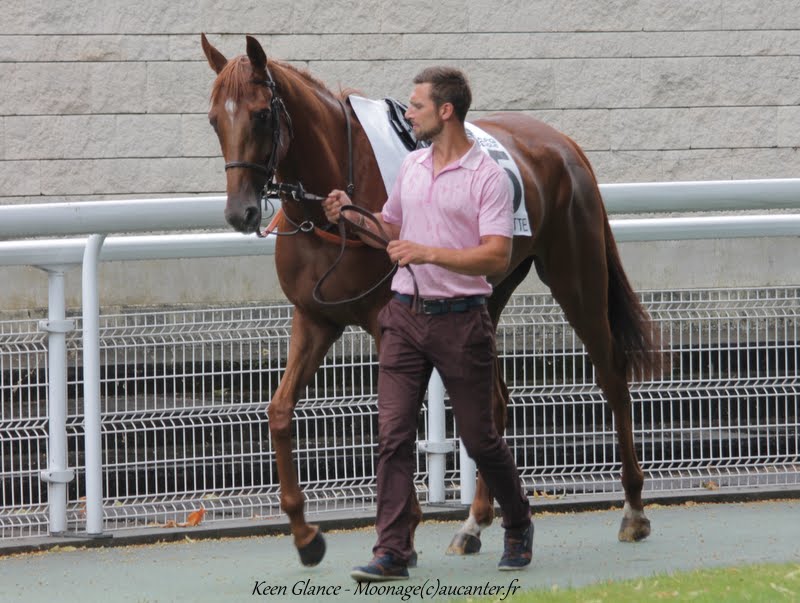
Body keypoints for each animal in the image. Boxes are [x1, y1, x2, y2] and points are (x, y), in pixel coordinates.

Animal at [200, 35, 656, 568]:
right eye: (214, 118)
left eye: (261, 115)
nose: (241, 212)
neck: (332, 210)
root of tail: (564, 144)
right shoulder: (314, 318)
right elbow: (278, 410)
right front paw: (305, 533)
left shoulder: (387, 323)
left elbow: (392, 420)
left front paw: (400, 532)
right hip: (486, 295)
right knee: (493, 402)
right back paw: (475, 523)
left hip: (577, 276)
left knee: (613, 378)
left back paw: (633, 509)